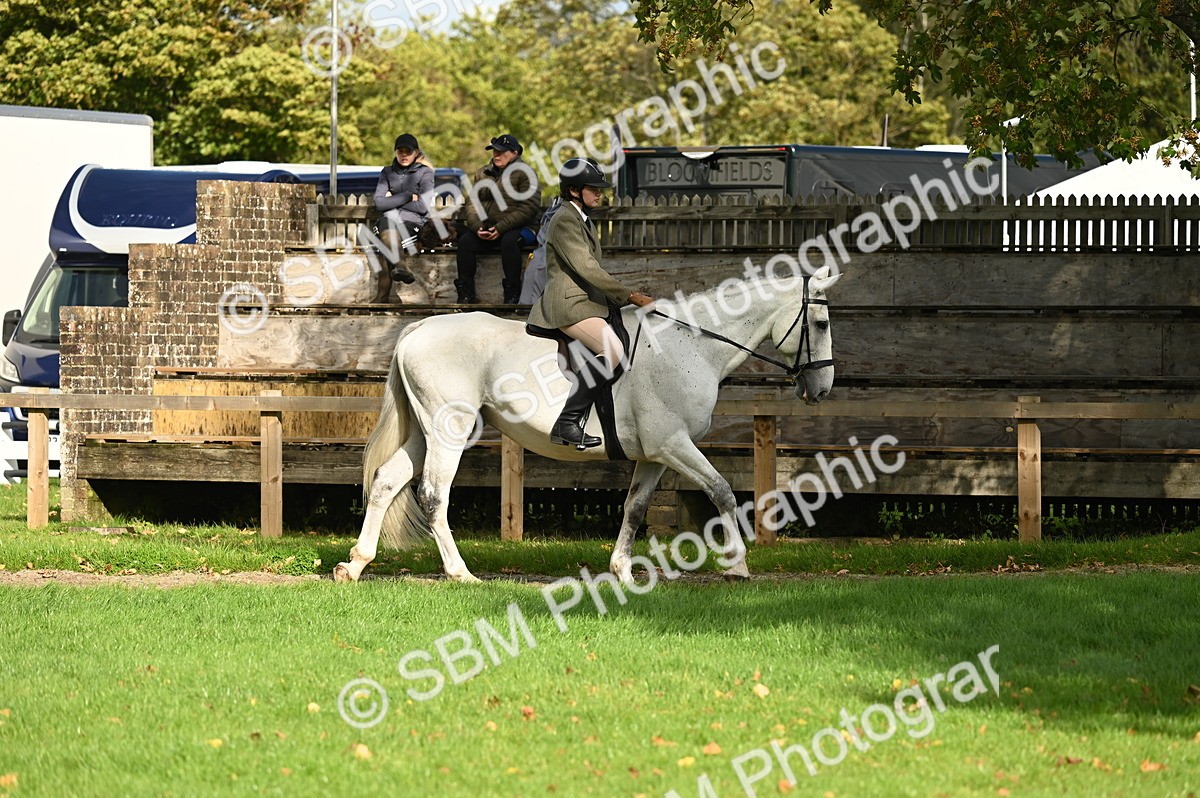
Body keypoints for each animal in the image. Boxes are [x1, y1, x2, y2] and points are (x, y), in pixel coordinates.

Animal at [333, 266, 836, 583]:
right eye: (823, 322)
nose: (823, 388)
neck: (689, 346)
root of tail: (418, 329)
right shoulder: (674, 445)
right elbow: (722, 492)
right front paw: (737, 565)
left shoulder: (656, 454)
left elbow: (635, 508)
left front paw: (621, 570)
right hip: (449, 432)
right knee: (434, 495)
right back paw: (460, 573)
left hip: (426, 434)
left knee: (386, 482)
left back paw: (355, 565)